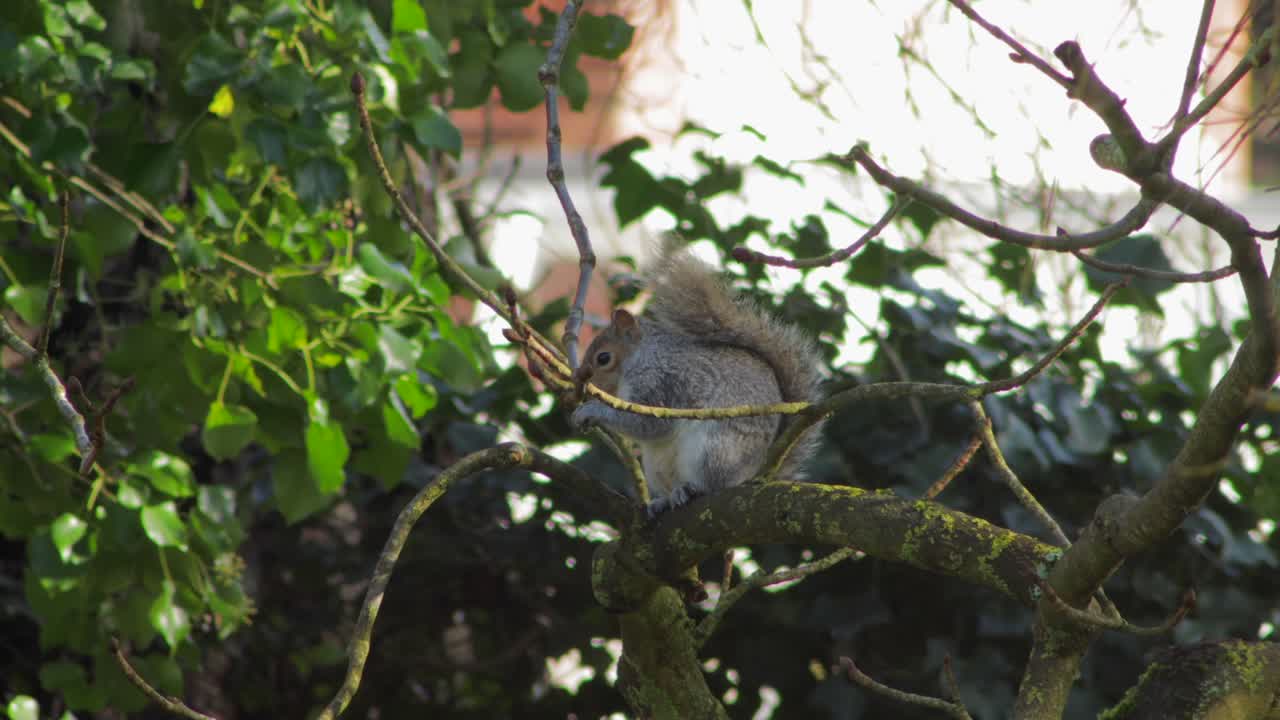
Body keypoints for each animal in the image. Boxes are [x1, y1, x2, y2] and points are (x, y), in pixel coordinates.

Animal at [570, 244, 825, 516]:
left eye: (603, 358)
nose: (584, 388)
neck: (641, 356)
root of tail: (751, 474)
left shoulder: (661, 382)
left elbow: (646, 424)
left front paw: (591, 410)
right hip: (657, 466)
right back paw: (665, 499)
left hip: (714, 450)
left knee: (714, 484)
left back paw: (692, 490)